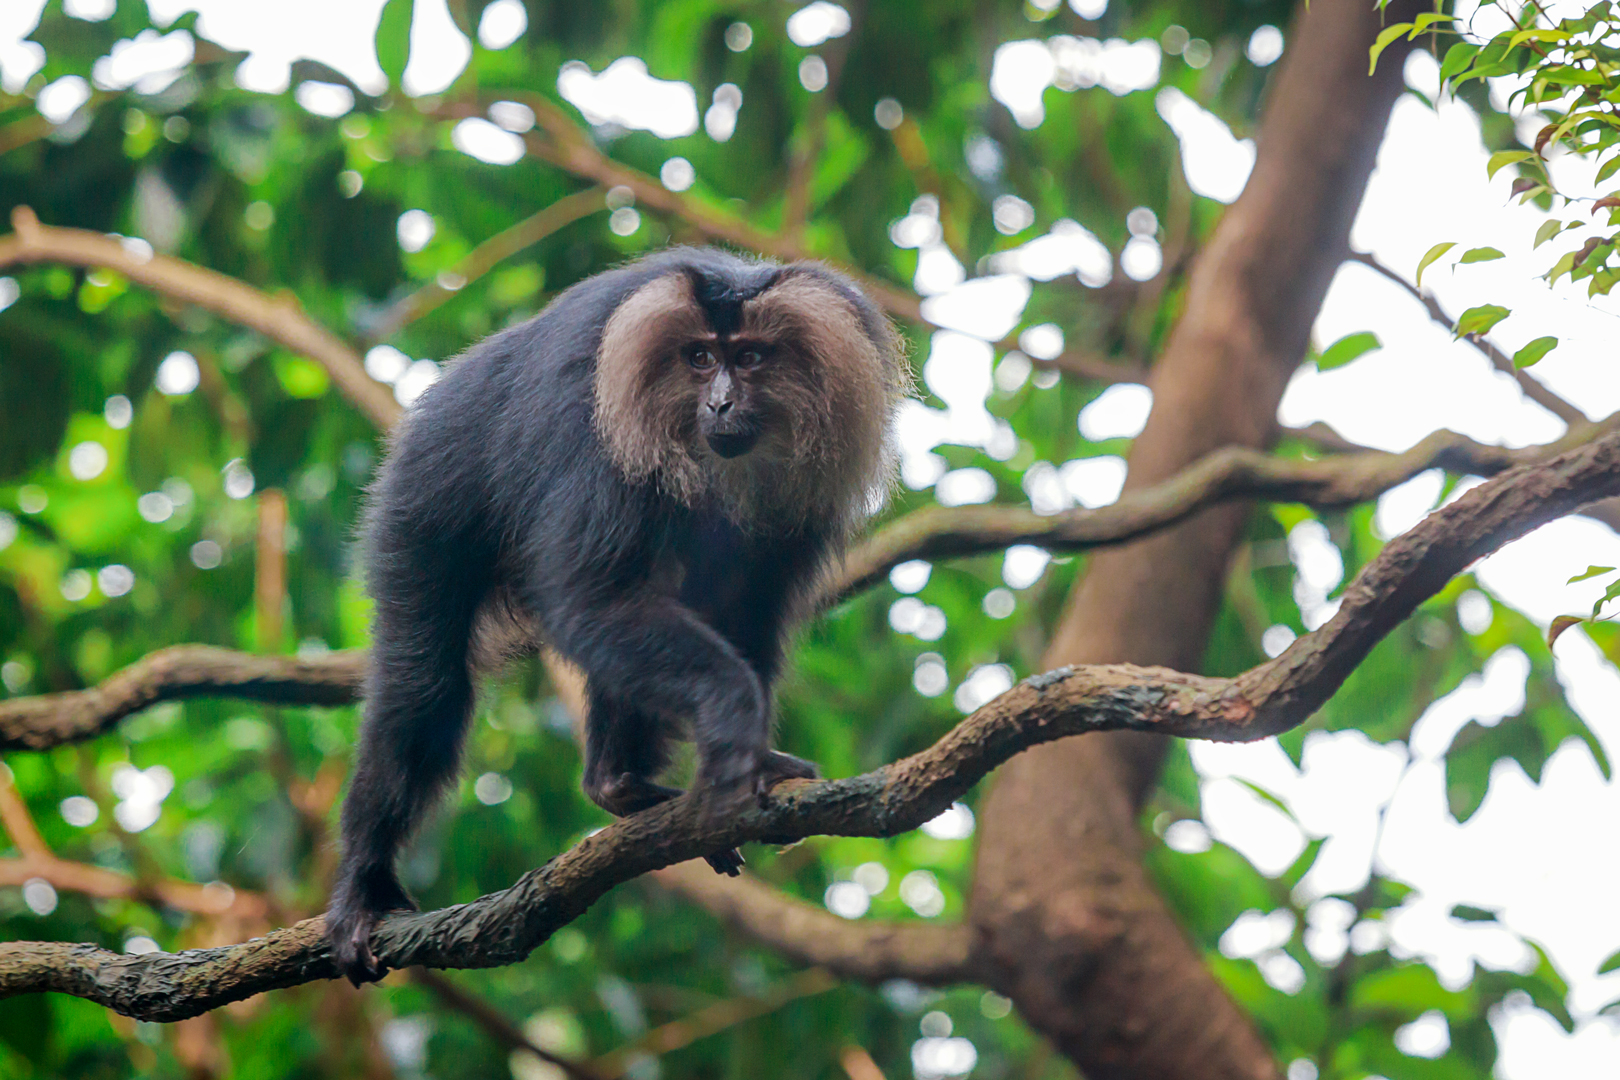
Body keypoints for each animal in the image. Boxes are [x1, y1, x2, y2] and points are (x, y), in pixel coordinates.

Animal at [325, 247, 908, 985]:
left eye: (750, 358)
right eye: (698, 357)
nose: (721, 402)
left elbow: (741, 613)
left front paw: (740, 763)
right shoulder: (593, 431)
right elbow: (590, 600)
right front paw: (733, 725)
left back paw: (617, 786)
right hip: (422, 489)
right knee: (424, 687)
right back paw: (363, 889)